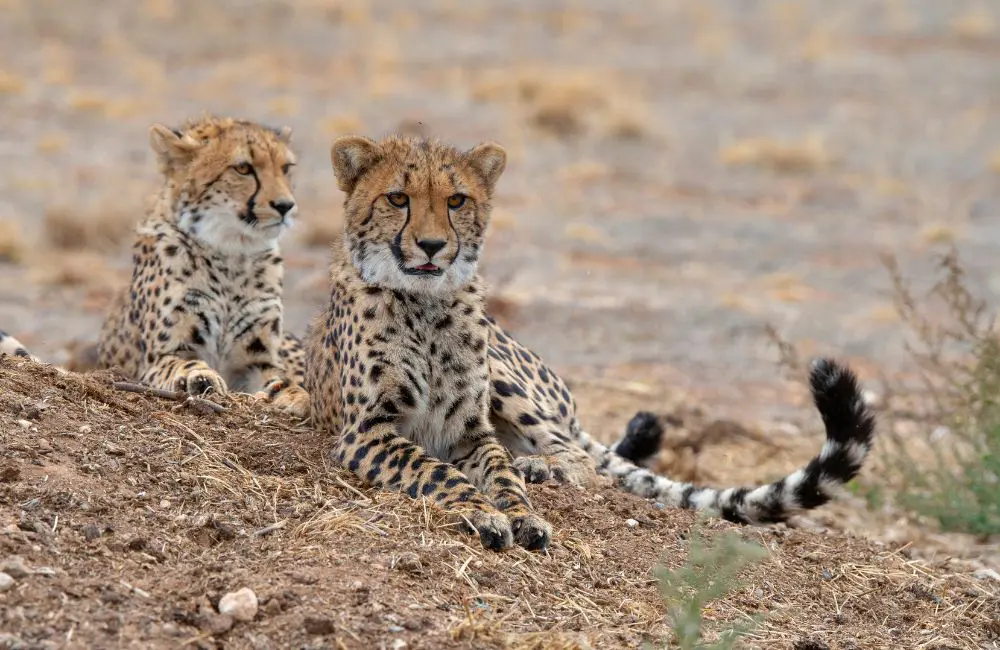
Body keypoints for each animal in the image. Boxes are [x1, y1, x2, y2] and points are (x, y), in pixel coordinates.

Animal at [2, 116, 310, 417]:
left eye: (286, 168)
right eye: (243, 168)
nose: (286, 206)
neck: (233, 253)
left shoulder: (255, 362)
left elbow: (281, 378)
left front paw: (295, 395)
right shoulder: (162, 356)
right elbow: (183, 364)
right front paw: (199, 377)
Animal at [304, 131, 876, 554]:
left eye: (456, 200)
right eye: (397, 198)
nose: (431, 245)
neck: (423, 304)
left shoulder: (471, 431)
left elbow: (499, 473)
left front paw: (520, 511)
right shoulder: (367, 432)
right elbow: (435, 469)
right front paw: (483, 513)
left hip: (510, 383)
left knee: (578, 458)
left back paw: (539, 466)